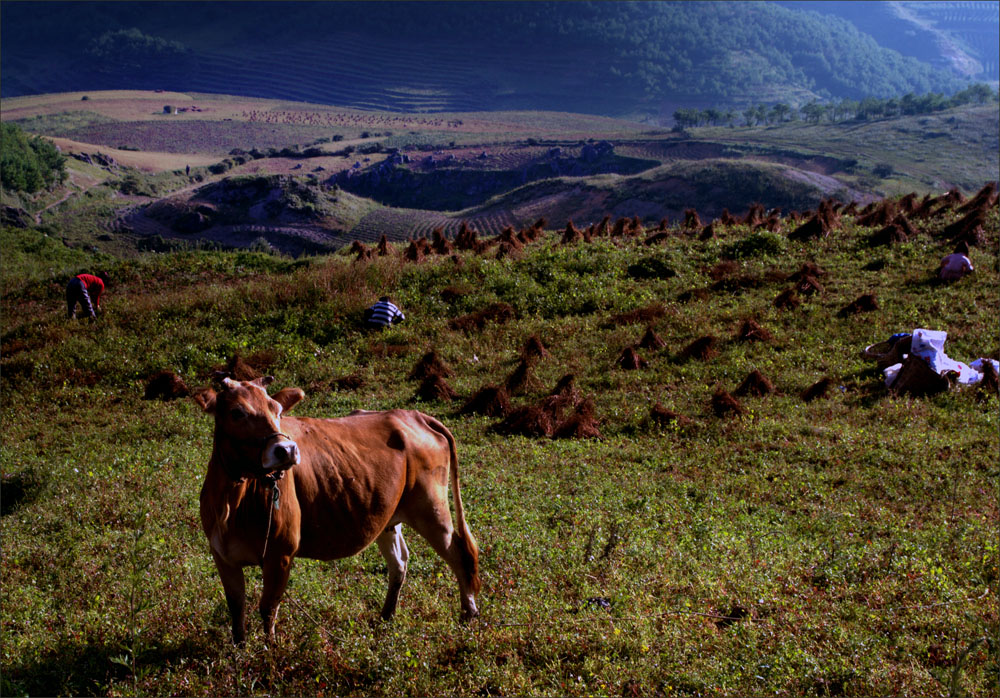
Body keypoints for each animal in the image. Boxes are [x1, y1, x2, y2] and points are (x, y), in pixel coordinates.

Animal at [195, 376, 480, 640]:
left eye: (277, 409)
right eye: (237, 412)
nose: (286, 449)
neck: (231, 503)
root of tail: (413, 415)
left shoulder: (281, 553)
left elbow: (268, 609)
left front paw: (270, 651)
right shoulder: (222, 555)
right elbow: (237, 610)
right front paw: (240, 650)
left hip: (432, 509)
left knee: (459, 553)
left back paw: (468, 616)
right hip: (388, 516)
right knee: (400, 561)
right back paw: (386, 617)